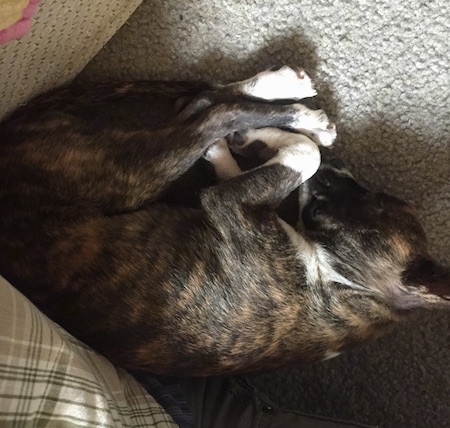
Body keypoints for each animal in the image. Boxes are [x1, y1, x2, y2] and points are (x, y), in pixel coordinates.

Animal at [0, 67, 448, 374]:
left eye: (376, 204)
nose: (340, 167)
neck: (349, 286)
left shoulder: (229, 207)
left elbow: (303, 155)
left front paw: (264, 140)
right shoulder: (237, 201)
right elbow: (283, 157)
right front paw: (252, 142)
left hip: (131, 169)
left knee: (209, 111)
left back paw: (297, 115)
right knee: (201, 103)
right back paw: (284, 93)